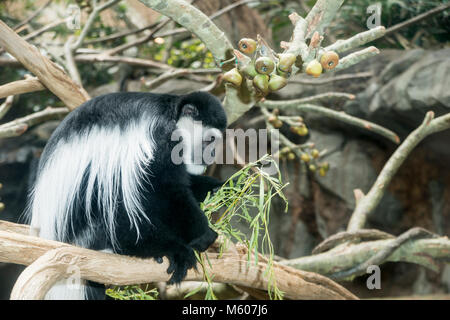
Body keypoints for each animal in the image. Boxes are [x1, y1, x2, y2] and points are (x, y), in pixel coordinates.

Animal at [26, 92, 227, 300]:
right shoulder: (161, 136)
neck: (172, 115)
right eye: (209, 140)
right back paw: (163, 248)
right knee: (119, 204)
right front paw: (203, 234)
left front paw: (220, 187)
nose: (212, 154)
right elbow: (164, 187)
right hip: (88, 225)